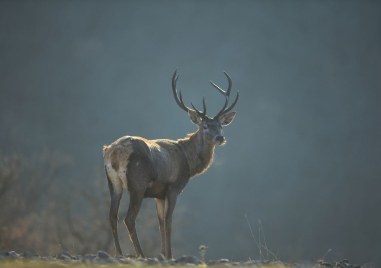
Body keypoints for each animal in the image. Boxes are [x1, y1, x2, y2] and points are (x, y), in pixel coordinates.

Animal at [101, 70, 238, 258]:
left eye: (220, 126)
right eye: (204, 126)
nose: (220, 138)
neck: (188, 161)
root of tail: (113, 152)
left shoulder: (158, 194)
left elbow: (159, 222)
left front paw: (163, 254)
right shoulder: (174, 187)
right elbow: (168, 221)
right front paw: (169, 255)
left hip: (113, 183)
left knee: (112, 216)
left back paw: (120, 254)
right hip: (137, 183)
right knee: (128, 218)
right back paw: (141, 254)